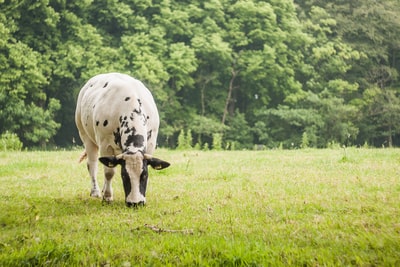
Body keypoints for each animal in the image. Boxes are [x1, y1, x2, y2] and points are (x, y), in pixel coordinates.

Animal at [74, 73, 169, 207]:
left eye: (144, 175)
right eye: (124, 175)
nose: (135, 203)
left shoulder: (151, 144)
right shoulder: (105, 144)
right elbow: (109, 172)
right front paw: (107, 197)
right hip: (85, 135)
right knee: (92, 164)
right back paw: (96, 192)